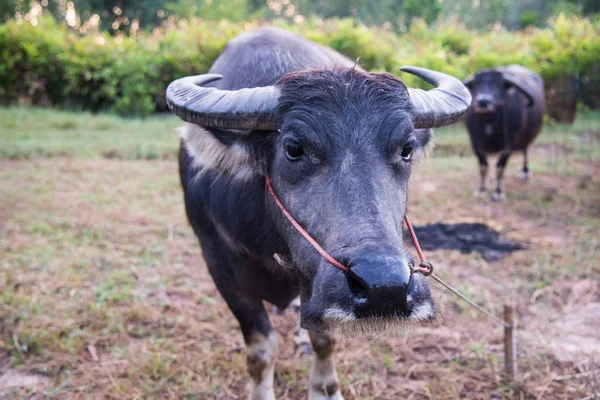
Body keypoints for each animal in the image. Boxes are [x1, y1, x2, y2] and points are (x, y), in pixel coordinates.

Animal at [166, 26, 472, 398]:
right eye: (294, 148)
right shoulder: (219, 267)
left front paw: (325, 386)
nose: (385, 287)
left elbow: (324, 339)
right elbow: (261, 350)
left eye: (406, 149)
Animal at [462, 66, 548, 203]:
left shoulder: (509, 144)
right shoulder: (474, 143)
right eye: (475, 85)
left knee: (525, 151)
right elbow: (483, 167)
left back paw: (525, 171)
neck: (490, 121)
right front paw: (482, 190)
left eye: (499, 85)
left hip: (527, 137)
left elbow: (499, 168)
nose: (483, 101)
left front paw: (498, 192)